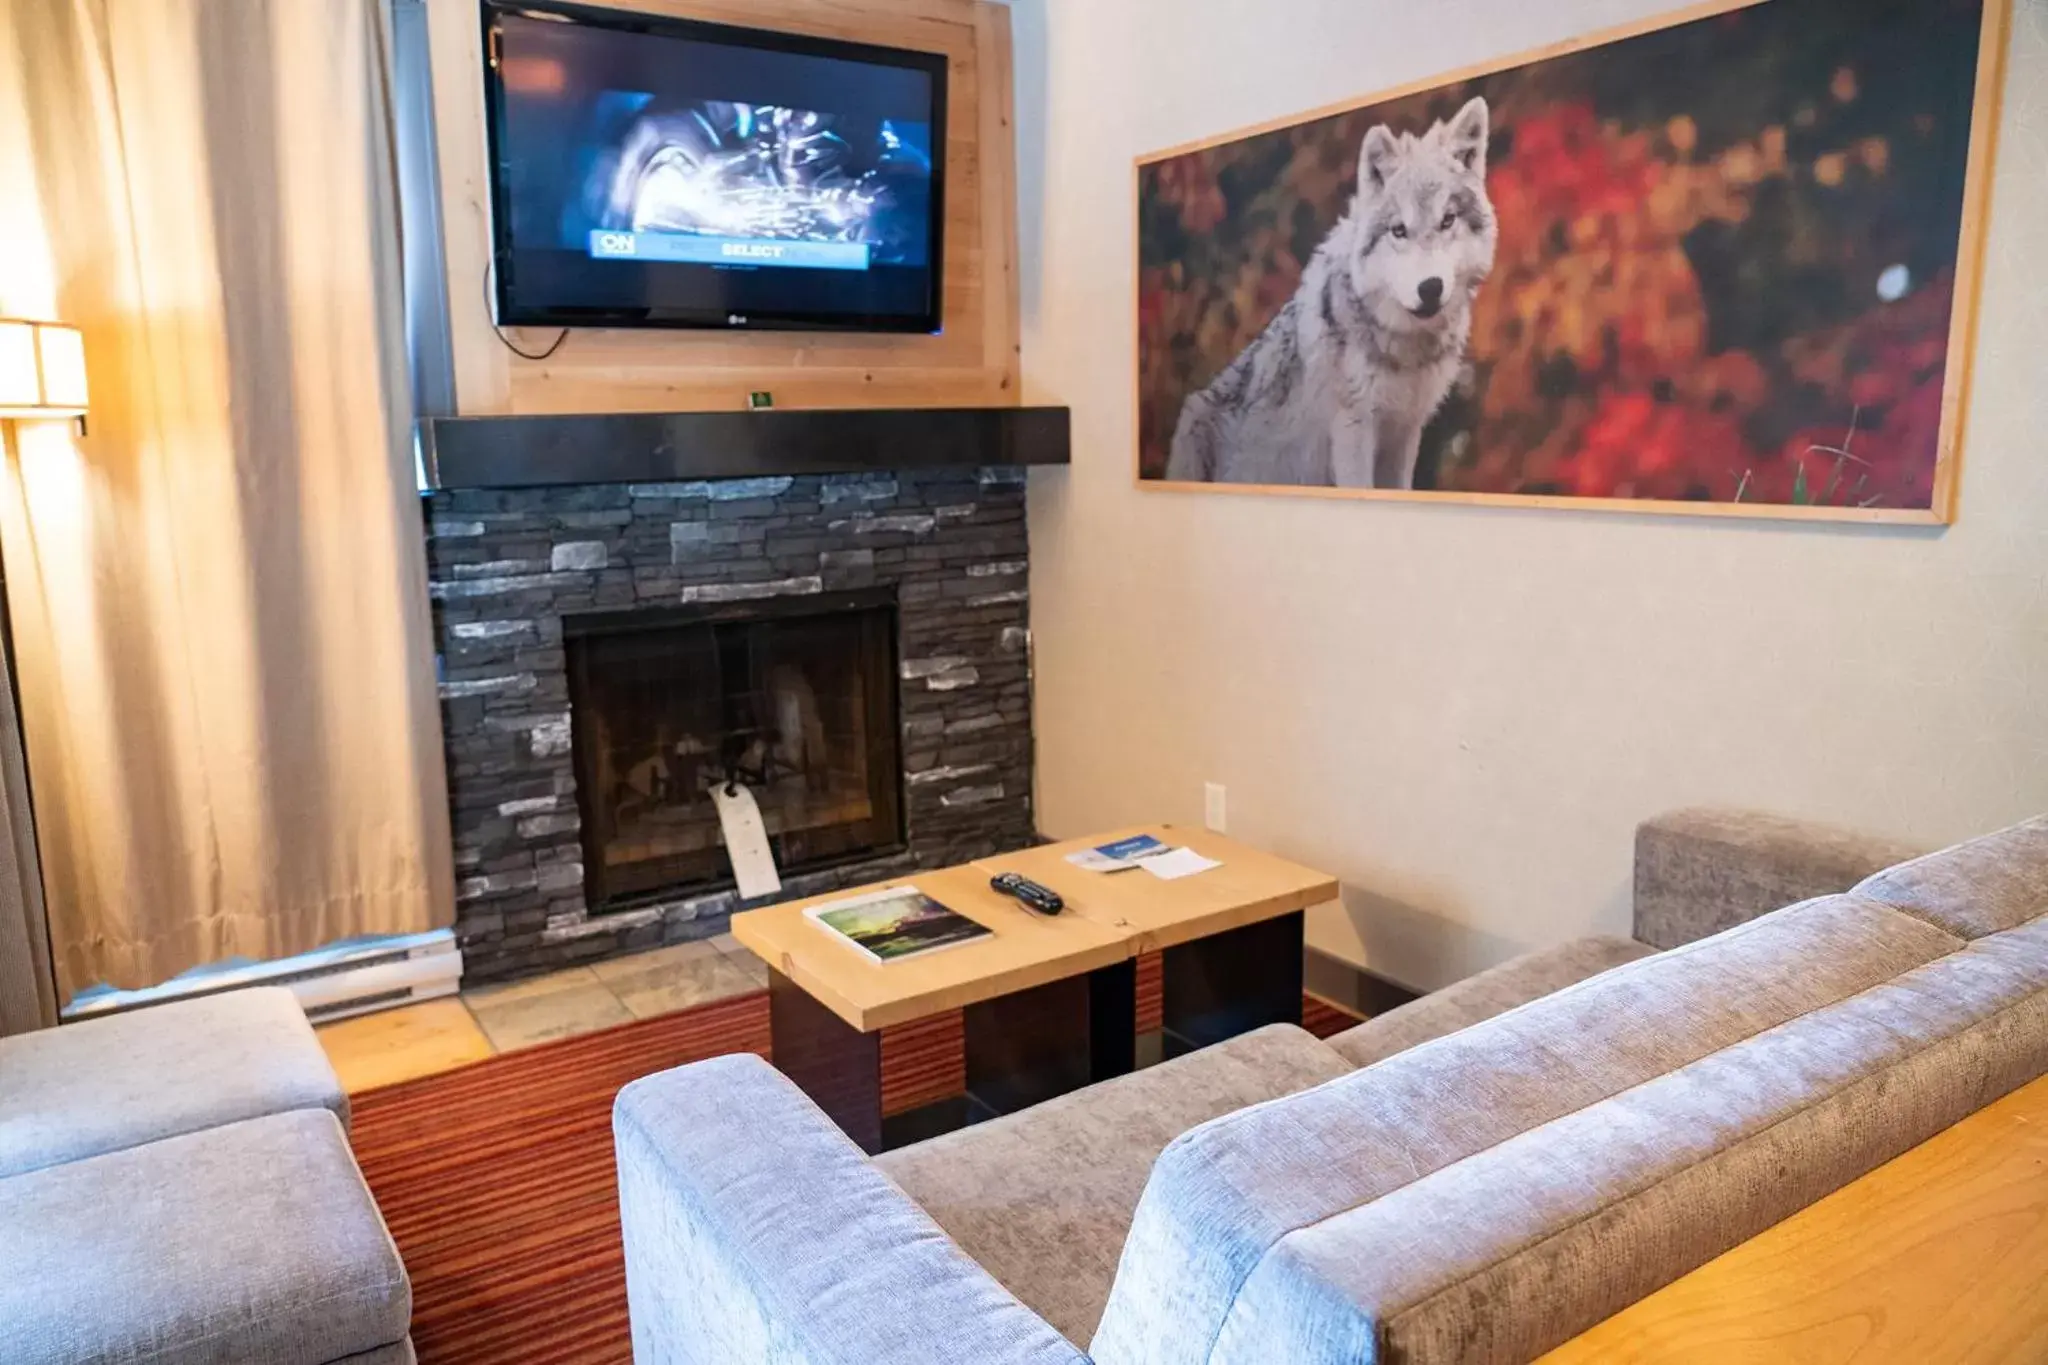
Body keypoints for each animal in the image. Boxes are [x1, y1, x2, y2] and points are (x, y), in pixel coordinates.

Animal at [1179, 97, 1499, 491]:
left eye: (1448, 220)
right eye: (1399, 230)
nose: (1430, 288)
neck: (1403, 349)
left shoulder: (1405, 431)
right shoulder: (1353, 428)